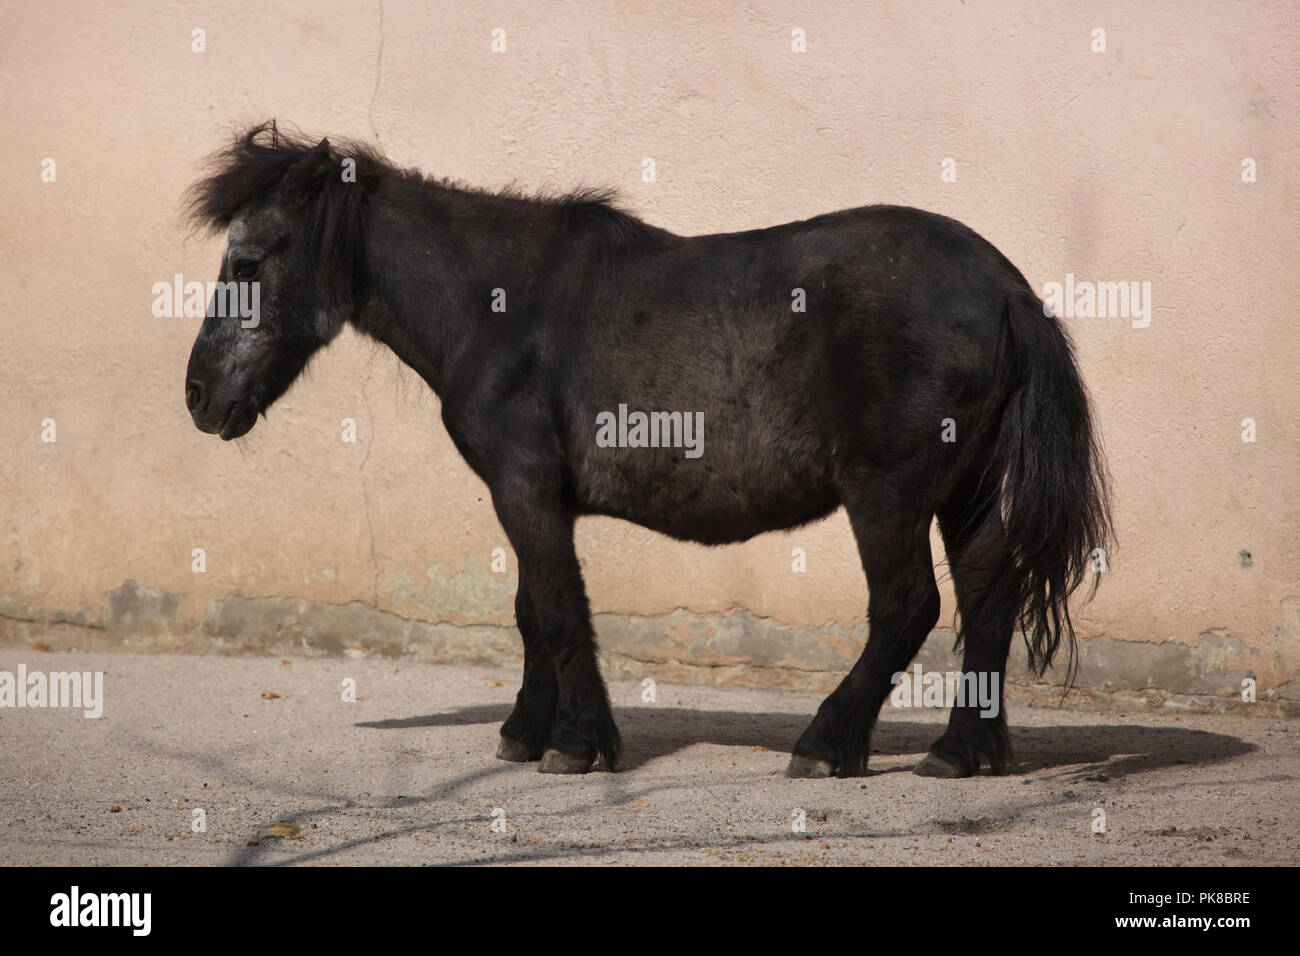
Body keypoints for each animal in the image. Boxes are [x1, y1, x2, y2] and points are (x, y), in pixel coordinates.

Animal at [188, 121, 1112, 780]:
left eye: (248, 260)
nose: (198, 396)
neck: (500, 306)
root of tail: (1005, 288)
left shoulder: (523, 486)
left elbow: (558, 609)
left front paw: (578, 743)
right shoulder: (535, 498)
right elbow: (533, 609)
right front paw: (526, 732)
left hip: (888, 491)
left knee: (907, 605)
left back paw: (825, 744)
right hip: (967, 490)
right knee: (988, 598)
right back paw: (960, 752)